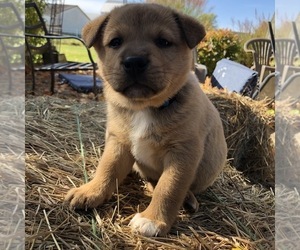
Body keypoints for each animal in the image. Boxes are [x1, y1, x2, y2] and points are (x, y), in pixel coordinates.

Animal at [64, 3, 226, 236]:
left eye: (163, 42)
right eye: (115, 42)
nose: (134, 62)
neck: (143, 108)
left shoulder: (183, 152)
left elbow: (169, 187)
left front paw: (153, 220)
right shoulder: (118, 142)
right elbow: (107, 168)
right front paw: (91, 191)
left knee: (178, 187)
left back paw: (188, 199)